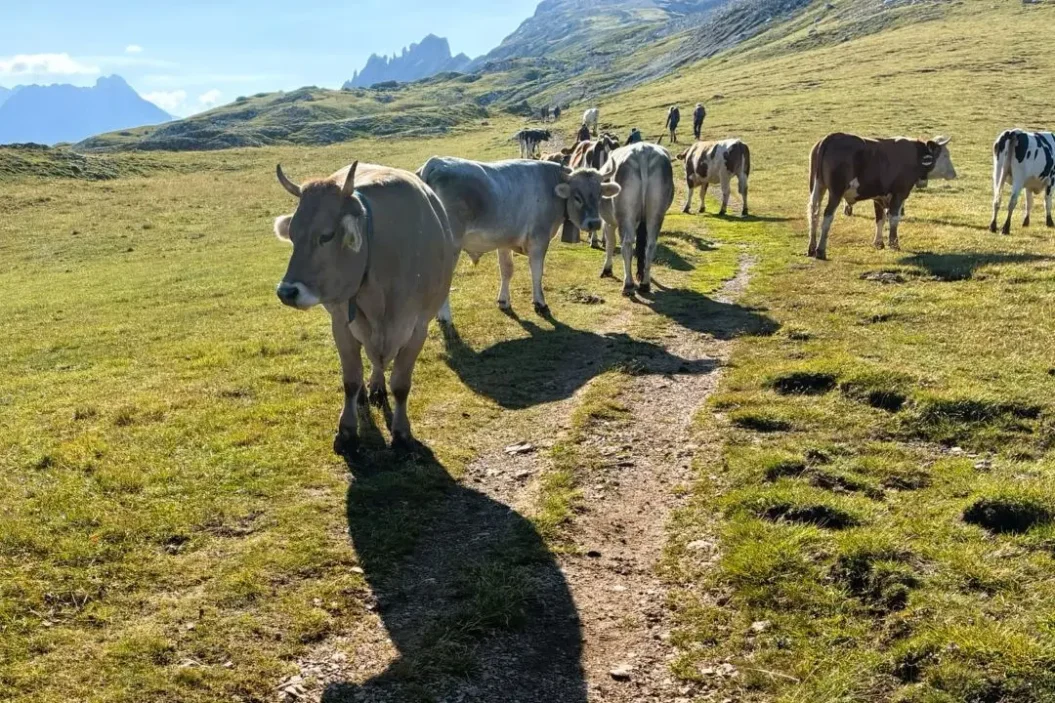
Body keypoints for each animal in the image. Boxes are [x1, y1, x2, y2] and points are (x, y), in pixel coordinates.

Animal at [271, 161, 459, 454]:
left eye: (326, 236)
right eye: (292, 236)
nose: (286, 292)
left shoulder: (417, 327)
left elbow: (401, 384)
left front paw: (402, 433)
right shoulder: (341, 324)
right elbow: (350, 380)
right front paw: (347, 430)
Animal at [418, 157, 620, 315]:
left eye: (600, 194)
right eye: (577, 197)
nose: (595, 223)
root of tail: (436, 162)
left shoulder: (504, 241)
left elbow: (507, 270)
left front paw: (503, 301)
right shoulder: (539, 240)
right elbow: (537, 271)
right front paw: (540, 302)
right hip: (450, 248)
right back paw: (445, 316)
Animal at [597, 143, 675, 295]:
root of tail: (642, 151)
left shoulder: (608, 222)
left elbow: (610, 243)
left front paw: (607, 269)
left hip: (625, 214)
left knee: (626, 244)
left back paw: (628, 284)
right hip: (656, 213)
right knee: (650, 245)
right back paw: (645, 283)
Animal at [807, 133, 957, 260]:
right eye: (945, 155)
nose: (954, 174)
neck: (915, 155)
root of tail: (830, 138)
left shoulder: (879, 196)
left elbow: (880, 219)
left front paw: (878, 243)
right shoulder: (899, 193)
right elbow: (894, 218)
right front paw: (894, 243)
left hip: (817, 187)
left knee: (814, 213)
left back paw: (811, 248)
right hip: (835, 192)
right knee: (827, 216)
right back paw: (820, 250)